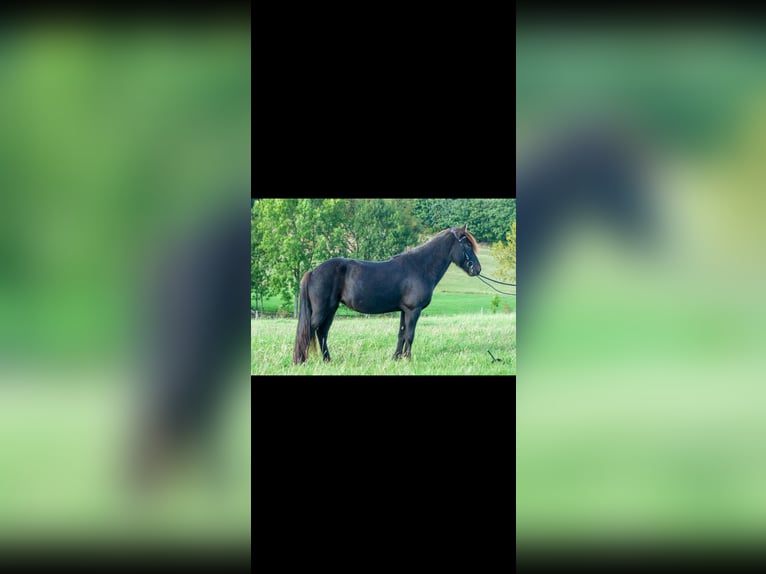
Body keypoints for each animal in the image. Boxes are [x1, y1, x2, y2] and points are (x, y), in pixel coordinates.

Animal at [292, 225, 482, 364]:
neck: (420, 266)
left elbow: (401, 335)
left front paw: (396, 358)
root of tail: (313, 272)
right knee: (310, 330)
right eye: (467, 245)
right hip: (322, 311)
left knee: (322, 333)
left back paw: (327, 360)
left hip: (331, 310)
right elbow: (410, 335)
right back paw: (301, 360)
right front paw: (407, 359)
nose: (477, 269)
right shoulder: (413, 310)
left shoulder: (404, 311)